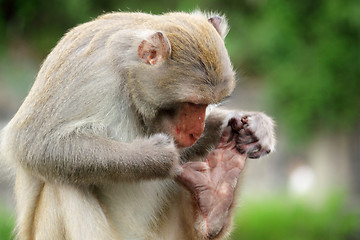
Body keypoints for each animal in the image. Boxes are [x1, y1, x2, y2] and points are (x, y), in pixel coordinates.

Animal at [0, 10, 276, 239]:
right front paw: (157, 158)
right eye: (191, 102)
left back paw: (214, 204)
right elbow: (32, 143)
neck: (127, 76)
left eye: (205, 105)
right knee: (62, 180)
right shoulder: (86, 71)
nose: (195, 132)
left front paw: (254, 126)